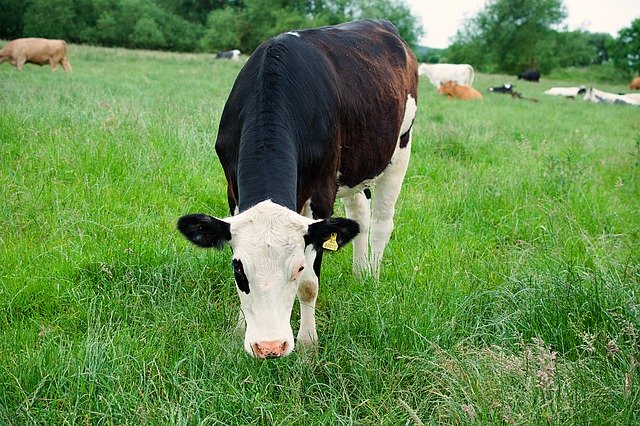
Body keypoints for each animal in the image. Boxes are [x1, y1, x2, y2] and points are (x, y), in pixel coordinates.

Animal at [178, 20, 418, 360]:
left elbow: (310, 285)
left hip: (400, 150)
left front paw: (308, 345)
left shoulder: (322, 191)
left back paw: (371, 278)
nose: (269, 347)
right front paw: (240, 329)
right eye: (238, 269)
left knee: (382, 223)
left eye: (298, 267)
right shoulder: (232, 187)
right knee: (359, 214)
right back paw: (359, 274)